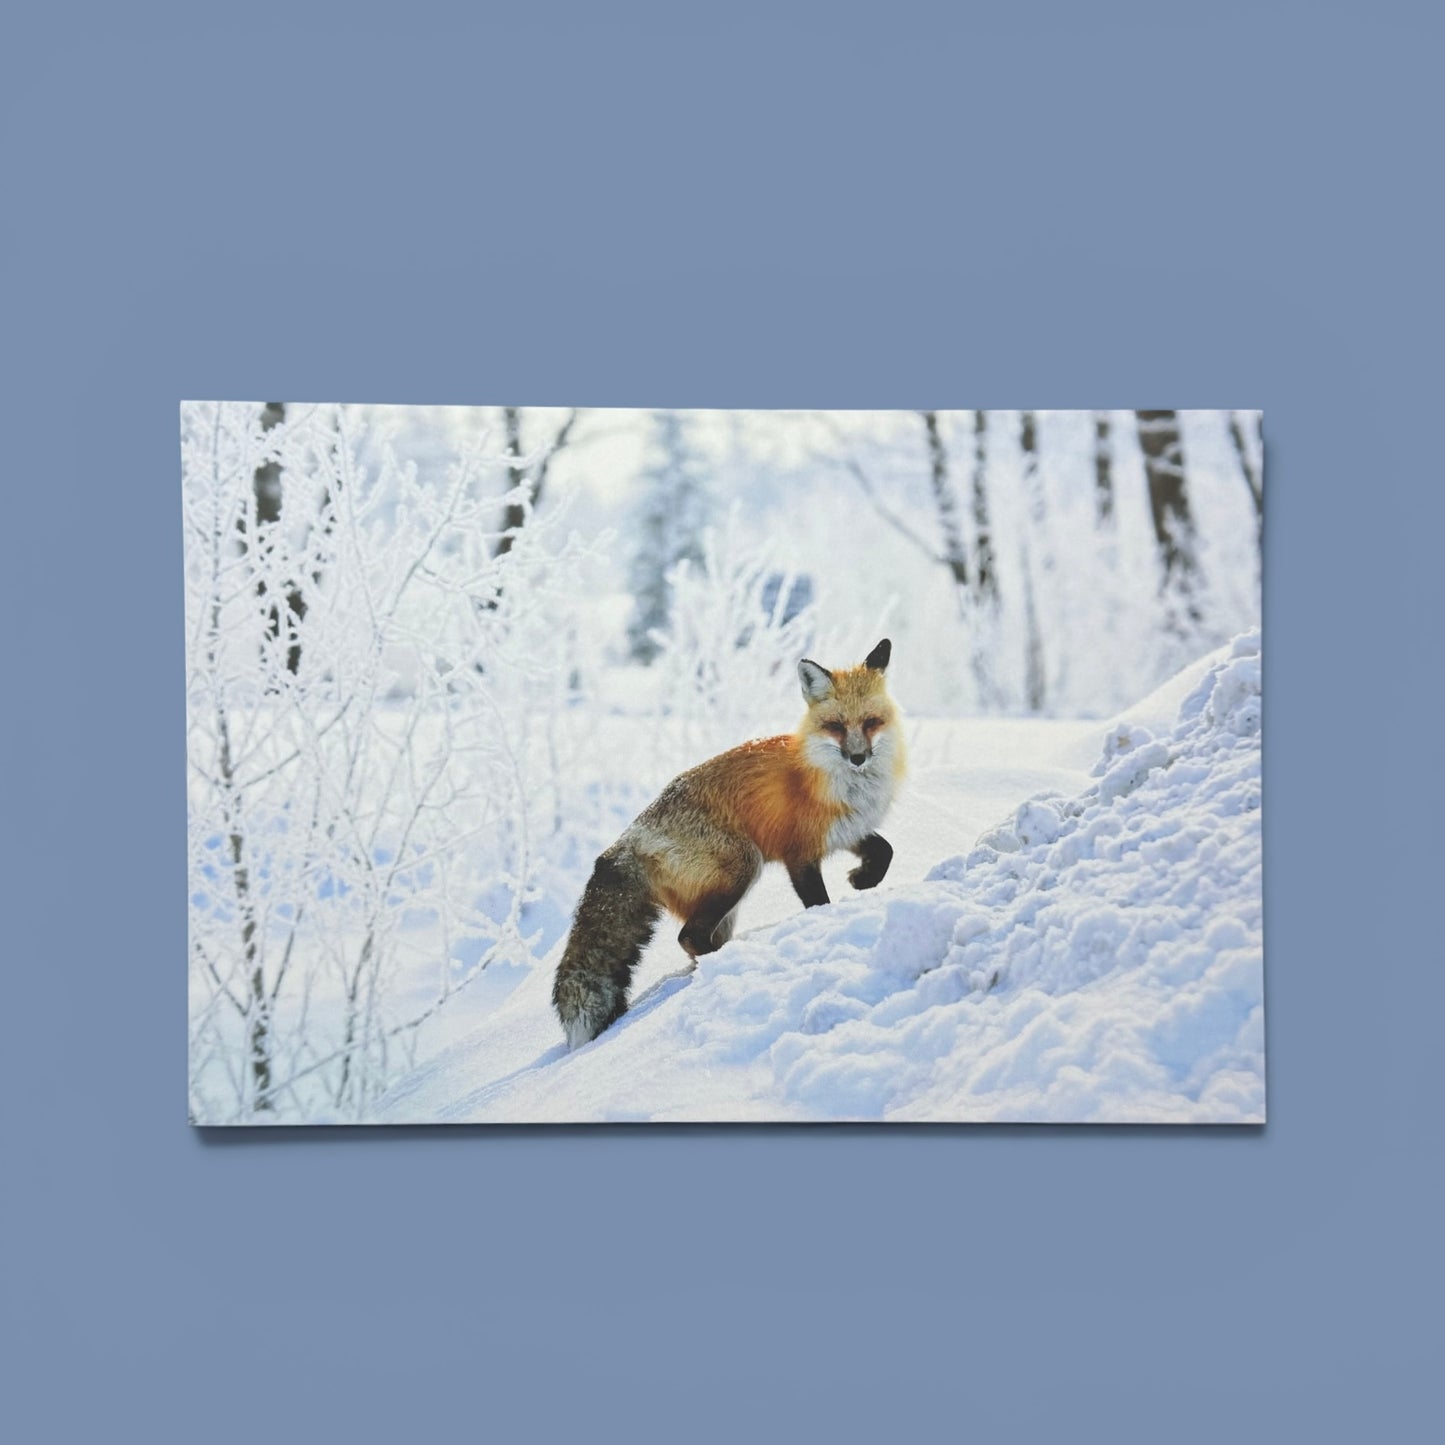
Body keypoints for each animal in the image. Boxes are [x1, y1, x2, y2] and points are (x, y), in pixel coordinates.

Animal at [552, 638, 905, 1048]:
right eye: (835, 726)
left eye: (870, 722)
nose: (858, 757)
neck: (832, 780)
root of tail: (626, 841)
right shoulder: (798, 854)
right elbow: (819, 902)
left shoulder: (847, 830)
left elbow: (885, 851)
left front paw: (862, 880)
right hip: (742, 868)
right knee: (689, 937)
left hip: (726, 902)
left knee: (695, 940)